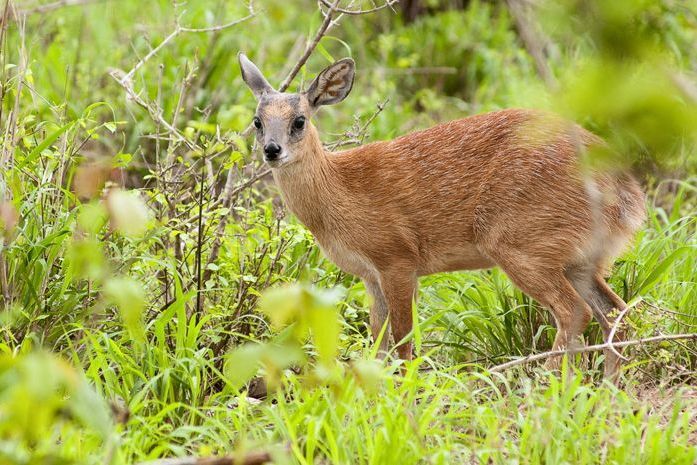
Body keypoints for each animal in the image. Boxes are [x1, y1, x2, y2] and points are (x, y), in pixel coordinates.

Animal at [237, 52, 644, 378]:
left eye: (300, 120)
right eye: (257, 121)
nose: (272, 150)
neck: (339, 192)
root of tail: (629, 195)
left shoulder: (398, 259)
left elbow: (403, 341)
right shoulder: (369, 275)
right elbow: (378, 342)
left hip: (521, 244)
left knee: (574, 312)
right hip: (578, 258)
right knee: (616, 313)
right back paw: (608, 389)